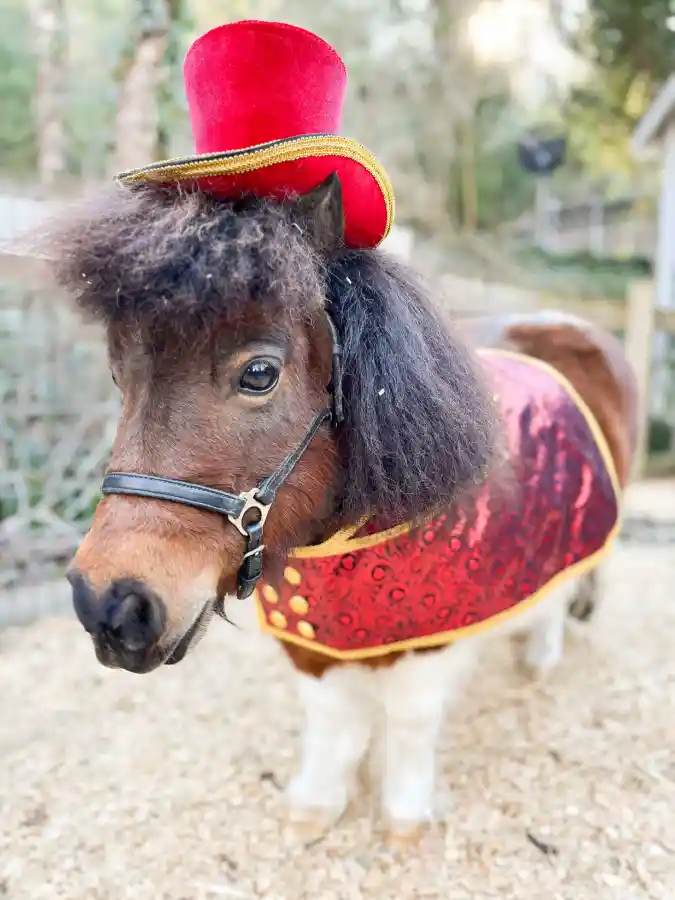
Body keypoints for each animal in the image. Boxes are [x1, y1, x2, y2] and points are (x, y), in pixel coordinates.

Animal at [40, 172, 639, 846]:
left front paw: (405, 815)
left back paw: (539, 660)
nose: (109, 604)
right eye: (122, 377)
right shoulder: (313, 634)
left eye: (259, 373)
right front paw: (317, 805)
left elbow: (409, 719)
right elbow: (332, 719)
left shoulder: (429, 635)